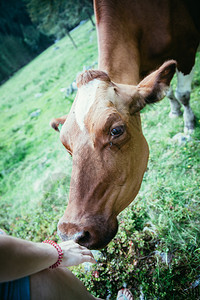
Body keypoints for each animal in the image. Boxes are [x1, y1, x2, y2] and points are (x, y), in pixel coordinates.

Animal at [50, 0, 200, 248]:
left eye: (116, 130)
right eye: (66, 147)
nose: (72, 234)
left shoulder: (186, 49)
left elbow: (183, 93)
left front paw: (188, 122)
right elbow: (168, 91)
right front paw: (175, 111)